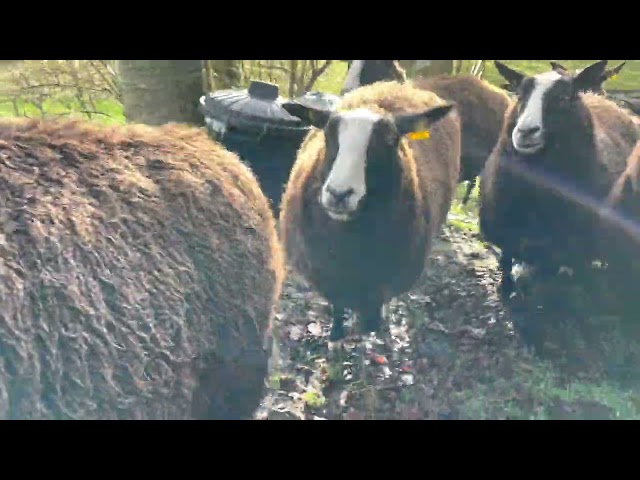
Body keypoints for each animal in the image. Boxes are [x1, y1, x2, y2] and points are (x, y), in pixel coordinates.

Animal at [280, 81, 460, 342]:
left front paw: (371, 329)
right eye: (328, 134)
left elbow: (374, 307)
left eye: (391, 140)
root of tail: (395, 85)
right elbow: (337, 305)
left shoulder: (384, 279)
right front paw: (336, 335)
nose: (339, 194)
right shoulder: (328, 273)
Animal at [478, 61, 636, 298]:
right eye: (520, 95)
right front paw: (506, 290)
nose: (525, 131)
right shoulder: (507, 232)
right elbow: (506, 261)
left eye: (563, 98)